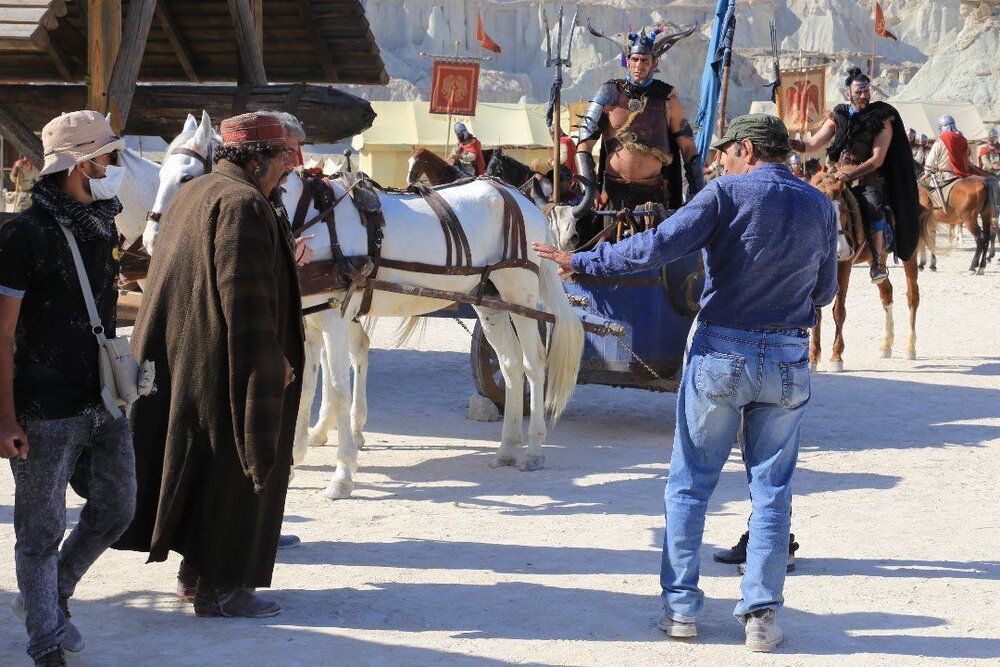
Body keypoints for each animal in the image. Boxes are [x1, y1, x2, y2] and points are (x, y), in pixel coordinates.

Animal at [808, 170, 924, 374]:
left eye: (843, 212)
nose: (841, 251)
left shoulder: (844, 266)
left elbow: (839, 311)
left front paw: (836, 357)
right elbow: (816, 311)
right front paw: (813, 358)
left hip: (910, 252)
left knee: (912, 297)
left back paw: (910, 347)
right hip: (877, 257)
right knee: (886, 292)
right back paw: (886, 345)